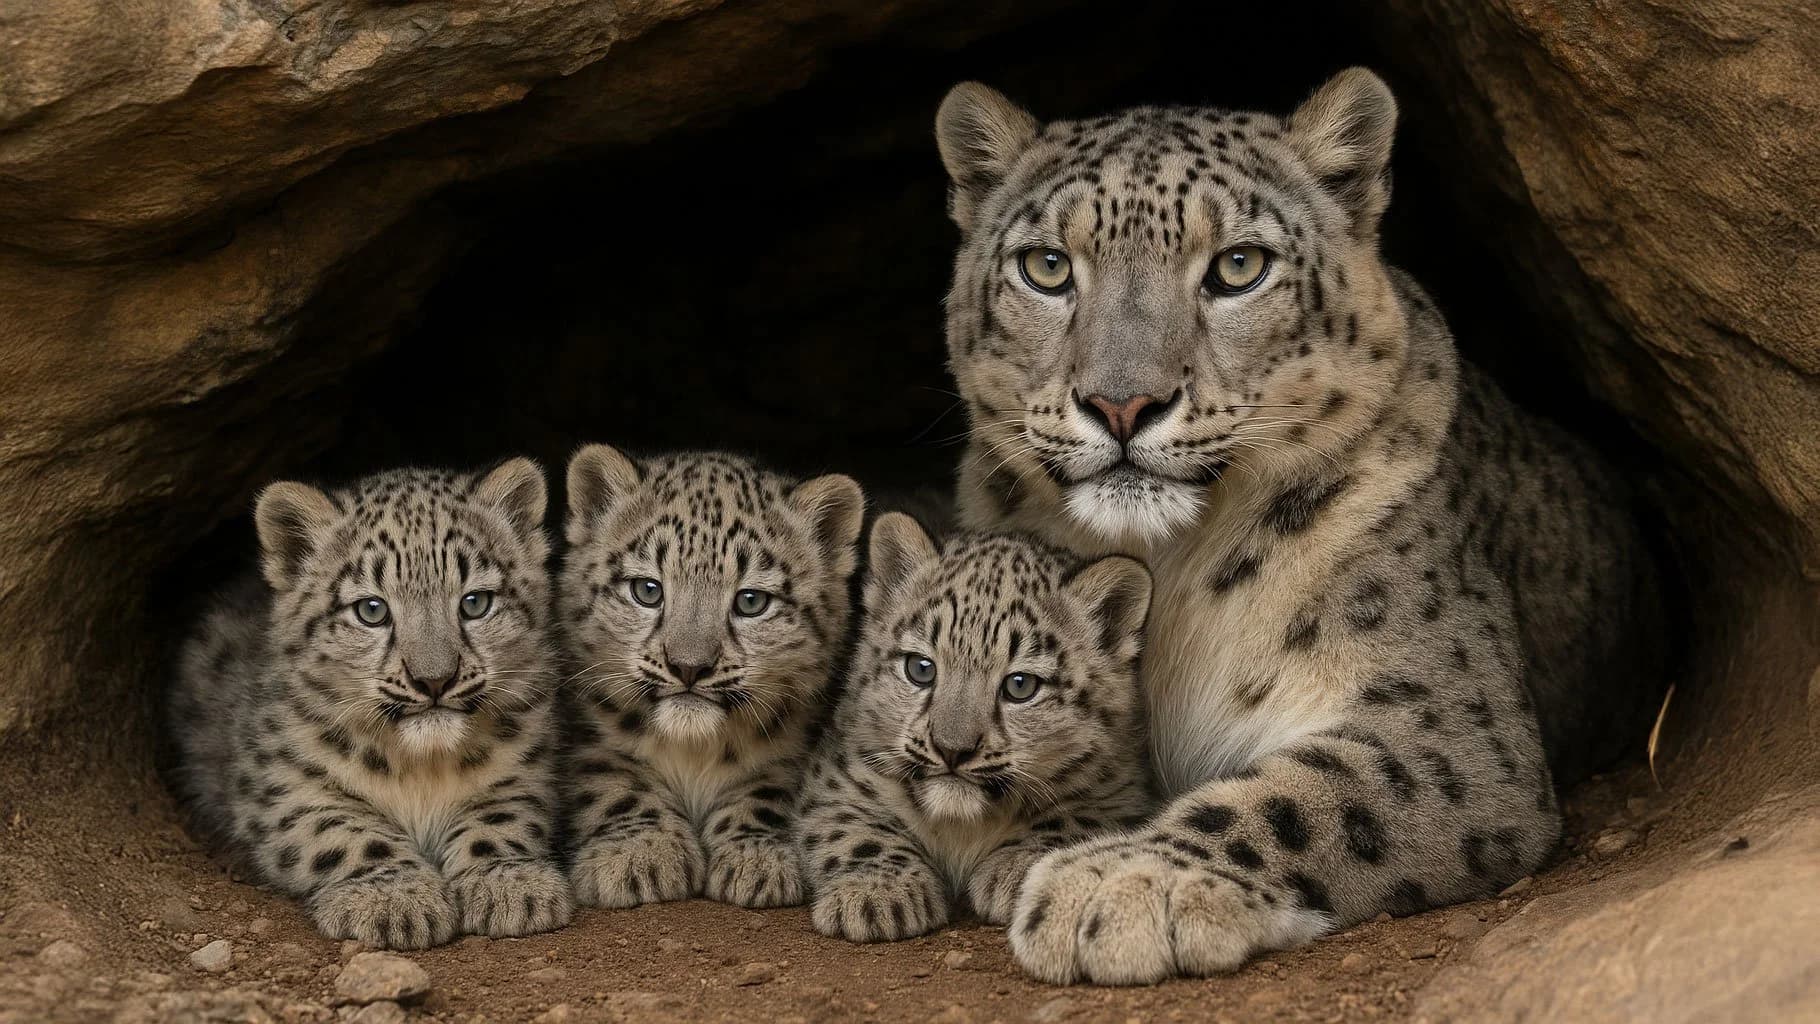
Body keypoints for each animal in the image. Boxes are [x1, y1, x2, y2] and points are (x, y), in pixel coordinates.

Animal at [167, 459, 572, 950]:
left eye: (475, 602)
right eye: (372, 610)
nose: (434, 679)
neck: (423, 770)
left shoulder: (523, 770)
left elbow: (502, 818)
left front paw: (509, 883)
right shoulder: (285, 788)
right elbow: (343, 832)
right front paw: (394, 899)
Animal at [557, 445, 863, 910]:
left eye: (751, 601)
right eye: (647, 590)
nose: (689, 666)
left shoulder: (793, 748)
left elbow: (766, 790)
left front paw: (756, 859)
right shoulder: (591, 737)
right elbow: (615, 783)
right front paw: (639, 854)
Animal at [799, 515, 1154, 943]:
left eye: (1020, 685)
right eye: (921, 668)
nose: (952, 749)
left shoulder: (1117, 792)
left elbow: (1074, 819)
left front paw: (1017, 870)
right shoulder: (842, 774)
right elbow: (853, 826)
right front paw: (877, 893)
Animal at [932, 68, 1668, 983]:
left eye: (1239, 266)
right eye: (1047, 267)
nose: (1122, 403)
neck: (1165, 569)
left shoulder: (1444, 725)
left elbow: (1299, 799)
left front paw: (1118, 883)